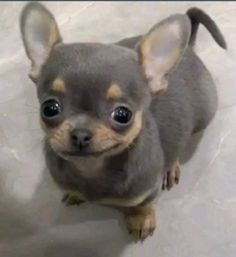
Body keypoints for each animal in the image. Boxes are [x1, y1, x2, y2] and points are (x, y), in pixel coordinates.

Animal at [20, 2, 227, 240]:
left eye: (122, 115)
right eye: (50, 108)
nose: (80, 134)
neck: (91, 169)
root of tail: (190, 50)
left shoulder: (148, 190)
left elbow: (142, 205)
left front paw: (141, 220)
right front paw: (75, 193)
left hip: (205, 114)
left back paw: (171, 167)